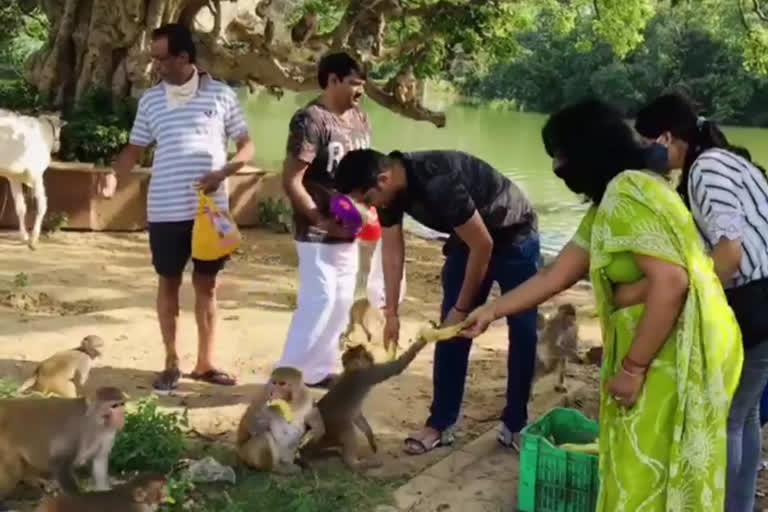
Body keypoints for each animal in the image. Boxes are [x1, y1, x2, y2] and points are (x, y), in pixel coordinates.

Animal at [0, 110, 64, 250]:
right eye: (59, 129)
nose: (58, 146)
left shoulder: (14, 178)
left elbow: (21, 208)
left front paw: (24, 236)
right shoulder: (36, 175)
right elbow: (42, 205)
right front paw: (33, 238)